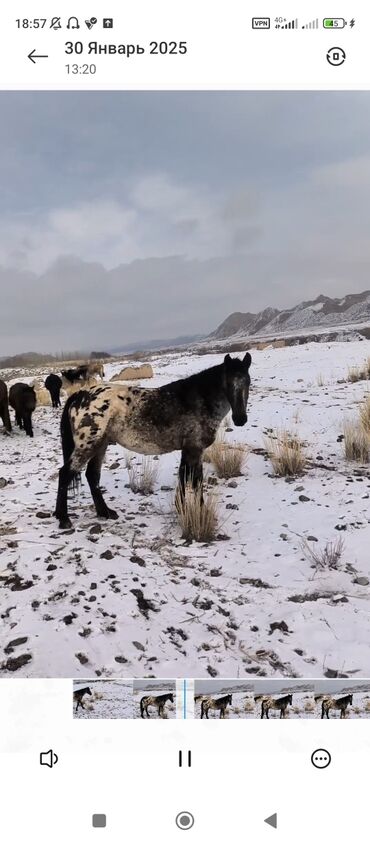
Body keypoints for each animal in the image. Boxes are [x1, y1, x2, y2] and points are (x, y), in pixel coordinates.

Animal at [55, 352, 251, 528]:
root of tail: (80, 395)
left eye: (248, 382)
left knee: (92, 476)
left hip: (100, 445)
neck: (200, 400)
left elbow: (187, 478)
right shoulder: (194, 449)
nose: (240, 419)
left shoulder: (190, 450)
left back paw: (105, 512)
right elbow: (194, 481)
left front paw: (186, 508)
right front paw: (197, 510)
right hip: (88, 445)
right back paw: (64, 519)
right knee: (65, 473)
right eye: (228, 383)